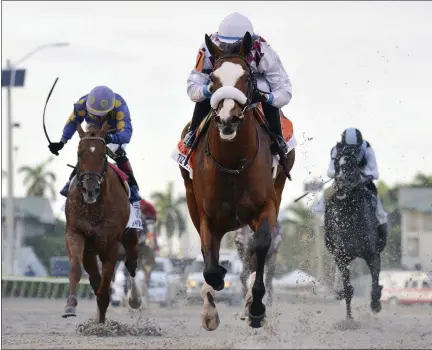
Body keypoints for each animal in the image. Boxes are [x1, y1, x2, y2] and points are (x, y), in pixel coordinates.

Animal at [61, 122, 143, 322]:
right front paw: (70, 305)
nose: (90, 190)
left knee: (131, 264)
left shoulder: (111, 243)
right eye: (79, 153)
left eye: (102, 154)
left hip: (130, 237)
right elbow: (78, 269)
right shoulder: (76, 233)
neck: (94, 207)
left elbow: (106, 280)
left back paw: (134, 300)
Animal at [177, 31, 296, 330]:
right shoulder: (207, 215)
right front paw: (211, 303)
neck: (232, 164)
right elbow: (210, 266)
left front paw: (256, 307)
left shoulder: (265, 206)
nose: (227, 119)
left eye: (247, 78)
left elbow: (261, 245)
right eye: (213, 79)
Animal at [326, 143, 384, 320]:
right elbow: (348, 289)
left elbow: (374, 284)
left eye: (351, 165)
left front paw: (376, 305)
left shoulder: (373, 255)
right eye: (336, 165)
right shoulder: (341, 256)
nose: (339, 186)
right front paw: (349, 318)